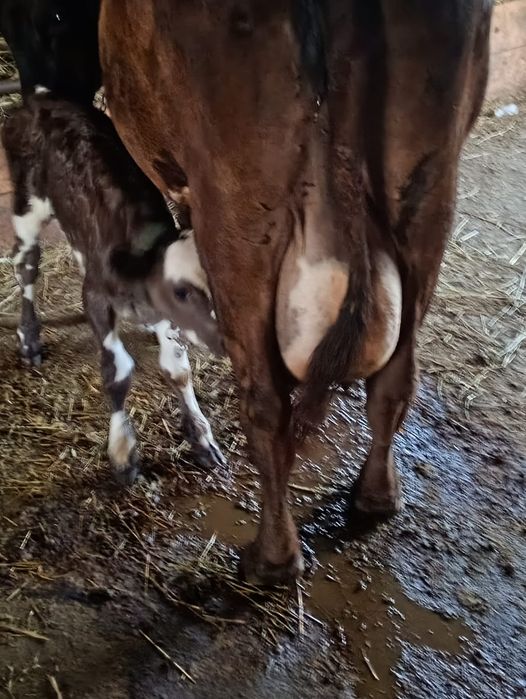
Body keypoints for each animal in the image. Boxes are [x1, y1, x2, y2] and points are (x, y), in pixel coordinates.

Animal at [1, 93, 225, 483]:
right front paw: (122, 451)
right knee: (25, 262)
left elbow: (178, 369)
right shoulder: (94, 297)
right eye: (182, 292)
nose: (227, 342)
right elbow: (116, 370)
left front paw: (201, 435)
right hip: (27, 202)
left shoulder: (165, 318)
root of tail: (40, 100)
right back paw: (29, 338)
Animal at [99, 0, 492, 584]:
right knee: (395, 382)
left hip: (238, 219)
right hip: (427, 205)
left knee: (265, 405)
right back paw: (376, 497)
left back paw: (273, 557)